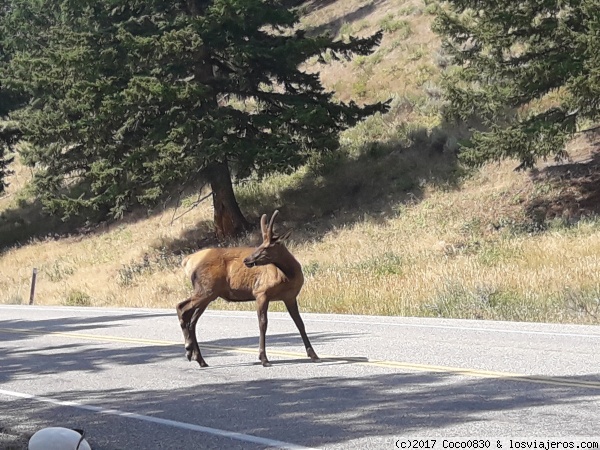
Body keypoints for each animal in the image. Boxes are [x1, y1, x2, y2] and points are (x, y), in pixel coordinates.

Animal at [176, 210, 322, 366]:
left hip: (209, 294)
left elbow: (300, 323)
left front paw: (313, 355)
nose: (247, 260)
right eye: (260, 245)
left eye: (266, 247)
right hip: (205, 289)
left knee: (192, 320)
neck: (288, 276)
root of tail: (187, 261)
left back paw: (199, 359)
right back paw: (188, 349)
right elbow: (263, 323)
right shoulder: (261, 292)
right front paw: (263, 358)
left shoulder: (290, 297)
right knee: (181, 307)